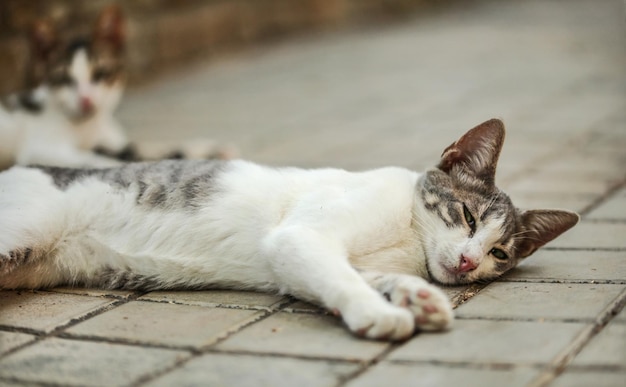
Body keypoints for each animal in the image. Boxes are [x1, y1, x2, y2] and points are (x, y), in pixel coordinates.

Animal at [0, 5, 234, 172]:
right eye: (65, 79)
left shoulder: (110, 142)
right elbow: (95, 160)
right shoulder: (40, 149)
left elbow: (144, 147)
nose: (86, 100)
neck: (88, 126)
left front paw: (205, 149)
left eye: (100, 74)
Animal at [0, 119, 576, 342]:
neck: (407, 241)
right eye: (469, 217)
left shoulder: (307, 260)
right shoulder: (300, 239)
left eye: (500, 254)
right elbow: (343, 279)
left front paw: (414, 296)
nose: (469, 262)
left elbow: (358, 275)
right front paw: (379, 313)